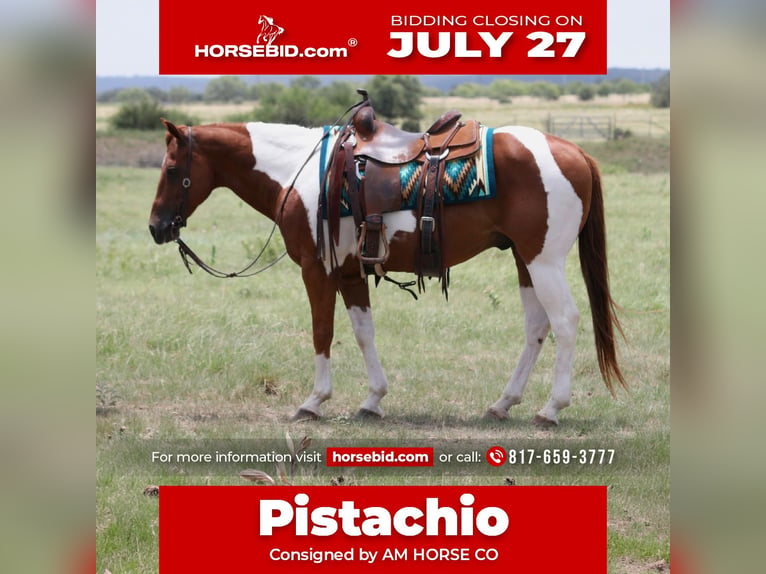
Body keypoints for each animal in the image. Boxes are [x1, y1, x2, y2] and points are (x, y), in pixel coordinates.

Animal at [148, 112, 626, 428]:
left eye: (171, 169)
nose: (156, 227)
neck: (299, 174)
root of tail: (575, 151)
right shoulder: (349, 271)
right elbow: (364, 332)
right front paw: (373, 400)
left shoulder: (317, 270)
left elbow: (322, 331)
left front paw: (314, 401)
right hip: (525, 260)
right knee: (537, 327)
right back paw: (503, 403)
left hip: (544, 260)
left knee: (565, 322)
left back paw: (551, 409)